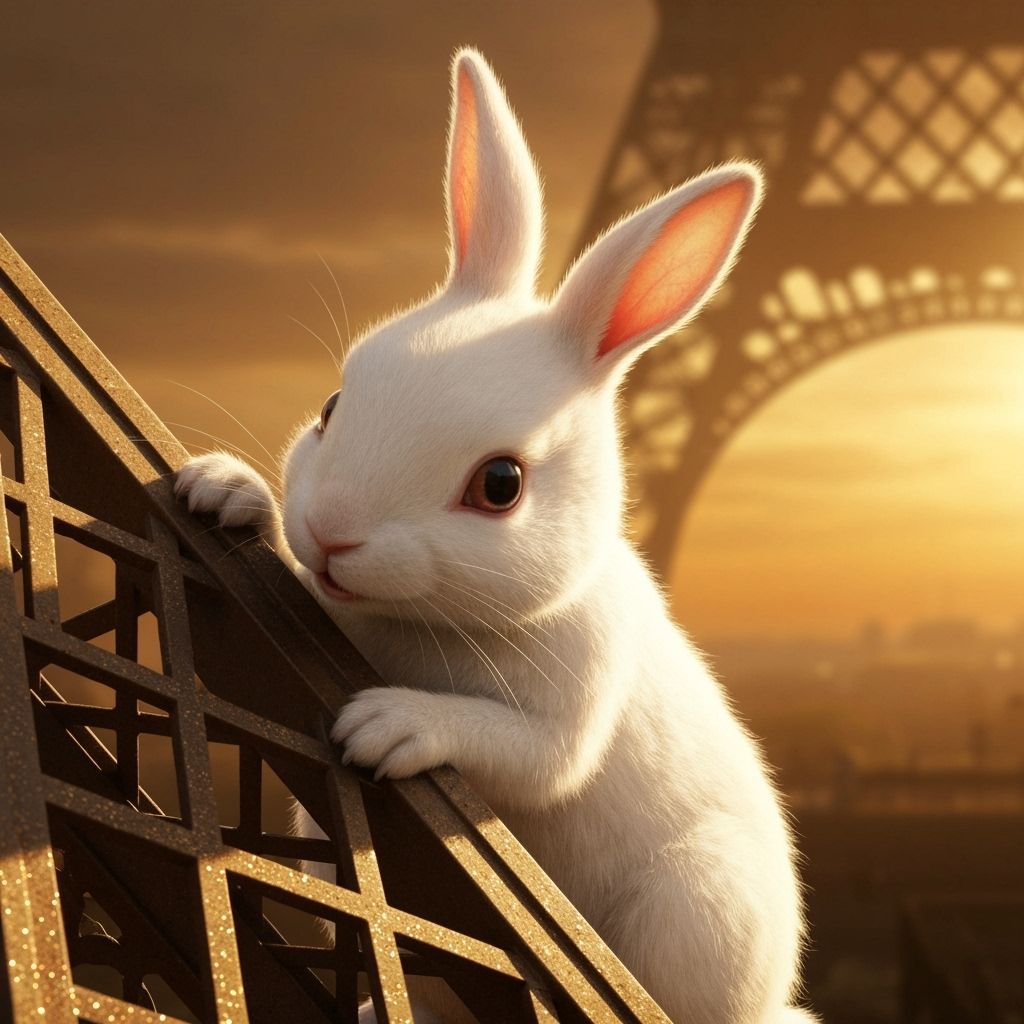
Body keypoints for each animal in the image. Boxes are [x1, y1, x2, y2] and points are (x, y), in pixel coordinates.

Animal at [175, 48, 817, 1024]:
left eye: (501, 485)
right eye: (332, 405)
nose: (331, 533)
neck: (421, 624)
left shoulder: (565, 719)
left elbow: (521, 753)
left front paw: (389, 723)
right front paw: (222, 487)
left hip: (699, 905)